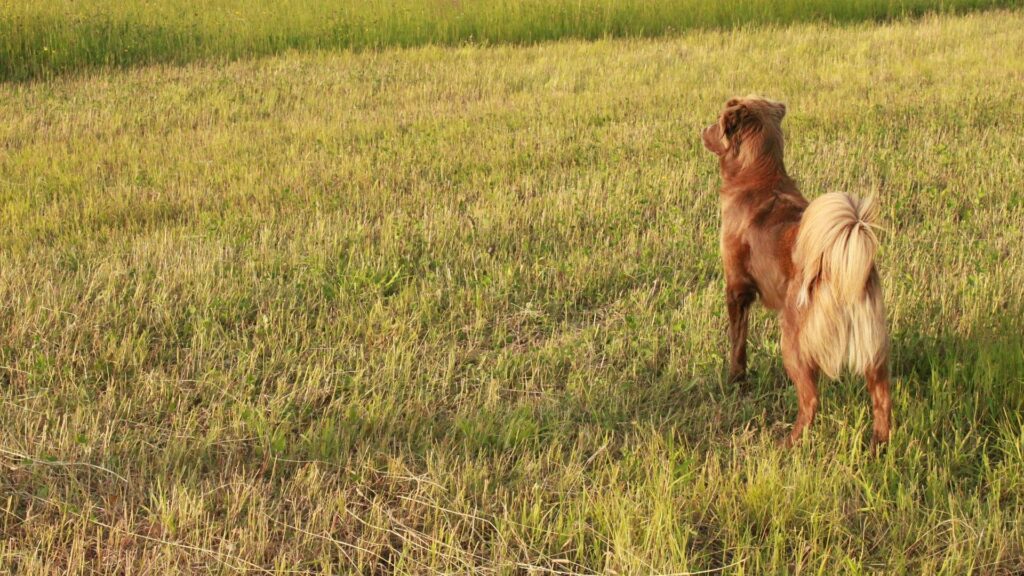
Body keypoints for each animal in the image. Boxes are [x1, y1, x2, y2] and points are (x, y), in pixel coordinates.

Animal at [700, 94, 892, 446]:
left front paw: (736, 380)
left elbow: (737, 343)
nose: (701, 130)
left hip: (792, 342)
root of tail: (837, 266)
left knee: (811, 400)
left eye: (718, 122)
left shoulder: (736, 288)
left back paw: (788, 442)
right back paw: (878, 446)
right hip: (874, 348)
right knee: (882, 398)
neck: (759, 176)